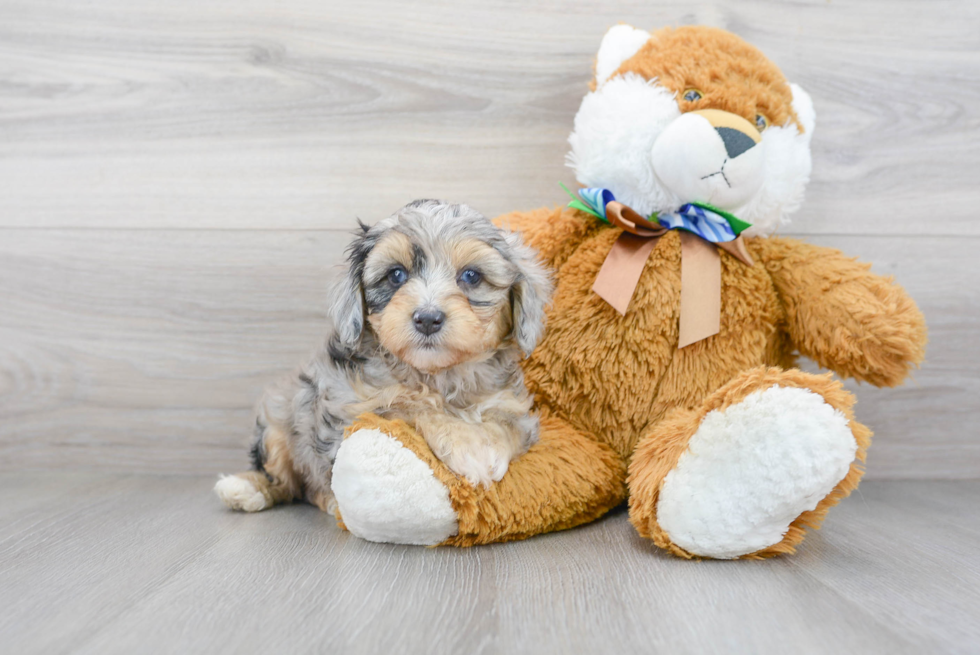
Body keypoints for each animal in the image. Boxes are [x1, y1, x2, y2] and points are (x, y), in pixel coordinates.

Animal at [215, 197, 552, 516]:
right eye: (396, 275)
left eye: (471, 276)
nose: (427, 319)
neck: (437, 375)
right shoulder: (354, 409)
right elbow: (409, 408)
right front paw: (466, 442)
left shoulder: (512, 406)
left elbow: (504, 423)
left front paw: (485, 445)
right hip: (278, 418)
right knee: (284, 480)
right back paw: (248, 489)